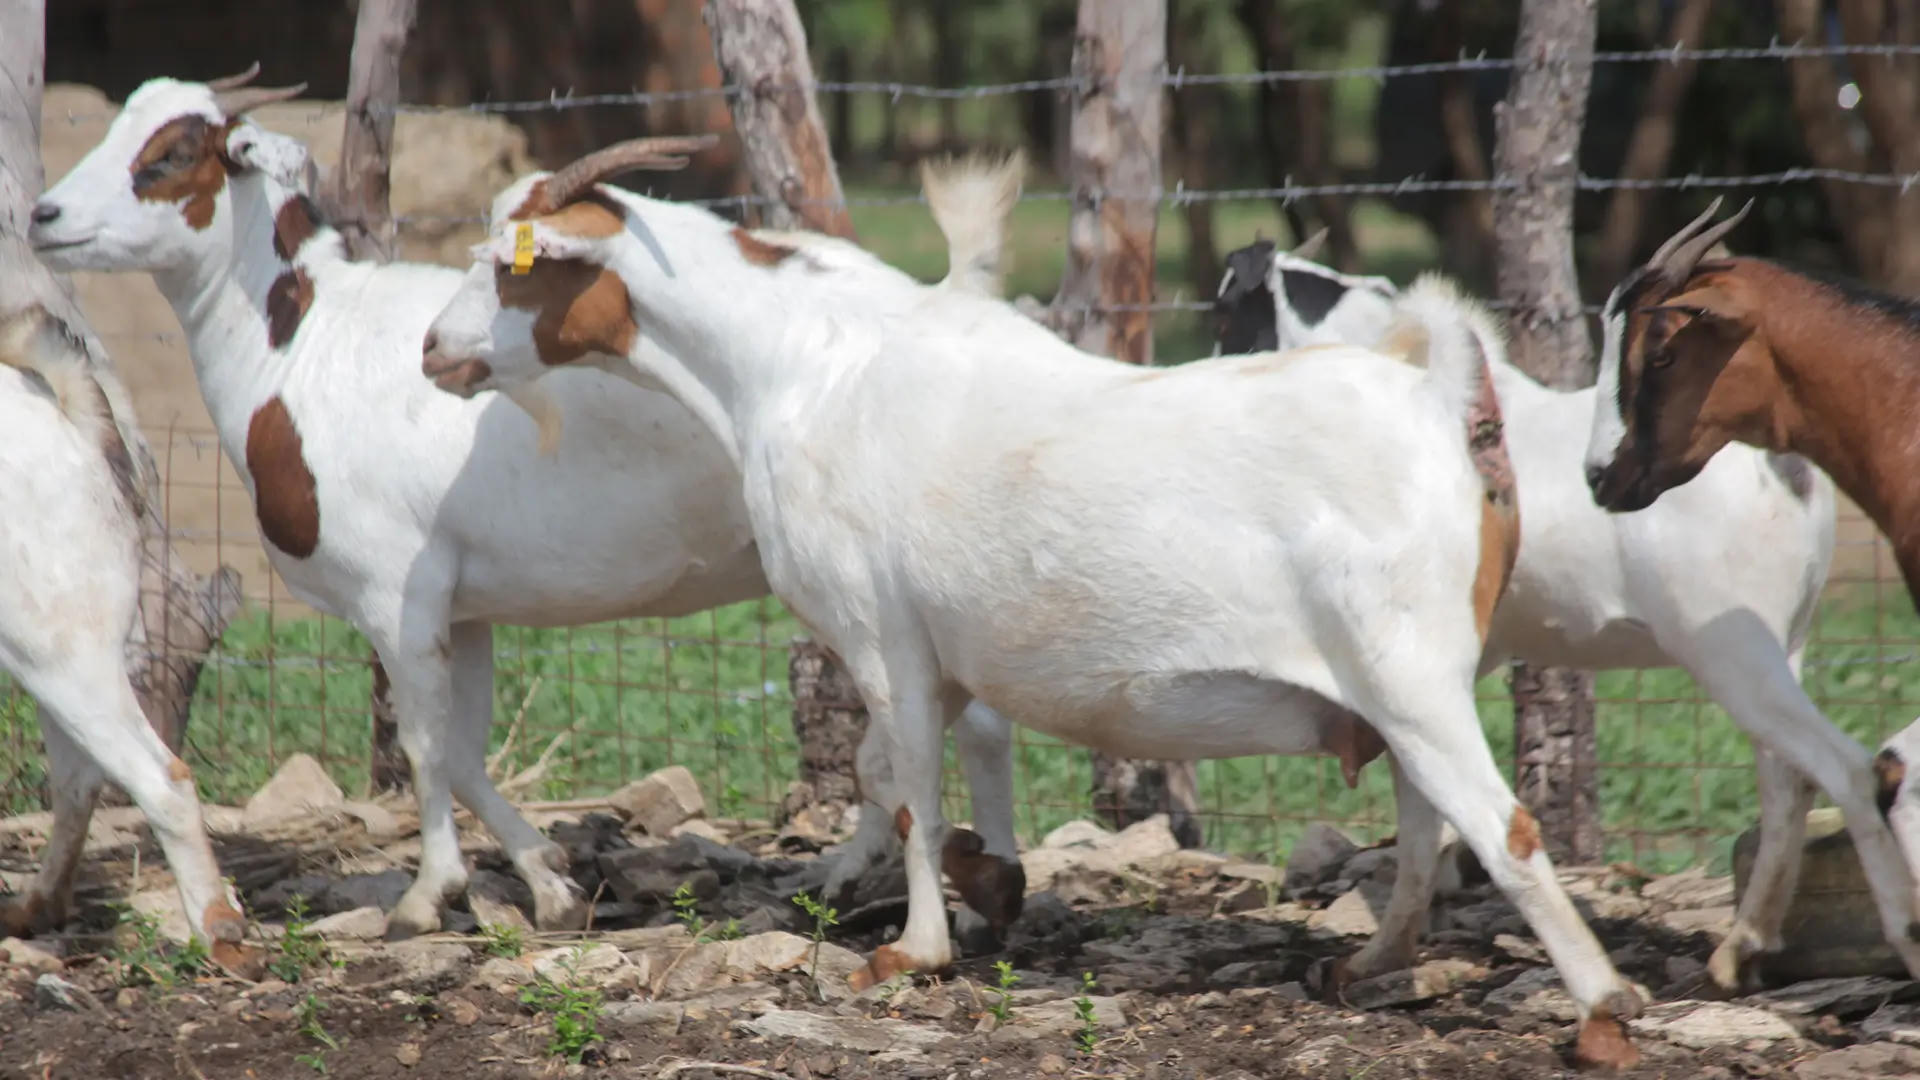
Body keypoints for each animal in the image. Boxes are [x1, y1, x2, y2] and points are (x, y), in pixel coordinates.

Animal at [0, 305, 250, 969]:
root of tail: (71, 425)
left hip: (65, 656)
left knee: (162, 781)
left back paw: (218, 930)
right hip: (49, 654)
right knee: (78, 779)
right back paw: (35, 910)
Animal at [29, 71, 1024, 943]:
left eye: (170, 154)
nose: (43, 216)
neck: (302, 346)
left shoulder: (397, 593)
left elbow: (424, 746)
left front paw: (428, 896)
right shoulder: (463, 605)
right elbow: (462, 750)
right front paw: (548, 880)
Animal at [420, 138, 1655, 1069]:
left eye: (503, 263)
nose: (435, 349)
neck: (806, 367)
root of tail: (1443, 402)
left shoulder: (878, 633)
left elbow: (902, 783)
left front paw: (913, 948)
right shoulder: (955, 642)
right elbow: (971, 751)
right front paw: (996, 883)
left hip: (1409, 668)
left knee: (1501, 825)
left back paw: (1602, 1010)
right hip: (1400, 684)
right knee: (1424, 828)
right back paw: (1366, 964)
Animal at [1215, 239, 1867, 990]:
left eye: (1226, 307)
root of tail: (1785, 463)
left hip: (1733, 655)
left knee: (1795, 775)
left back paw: (1741, 949)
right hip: (1786, 644)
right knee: (1787, 783)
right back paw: (1746, 951)